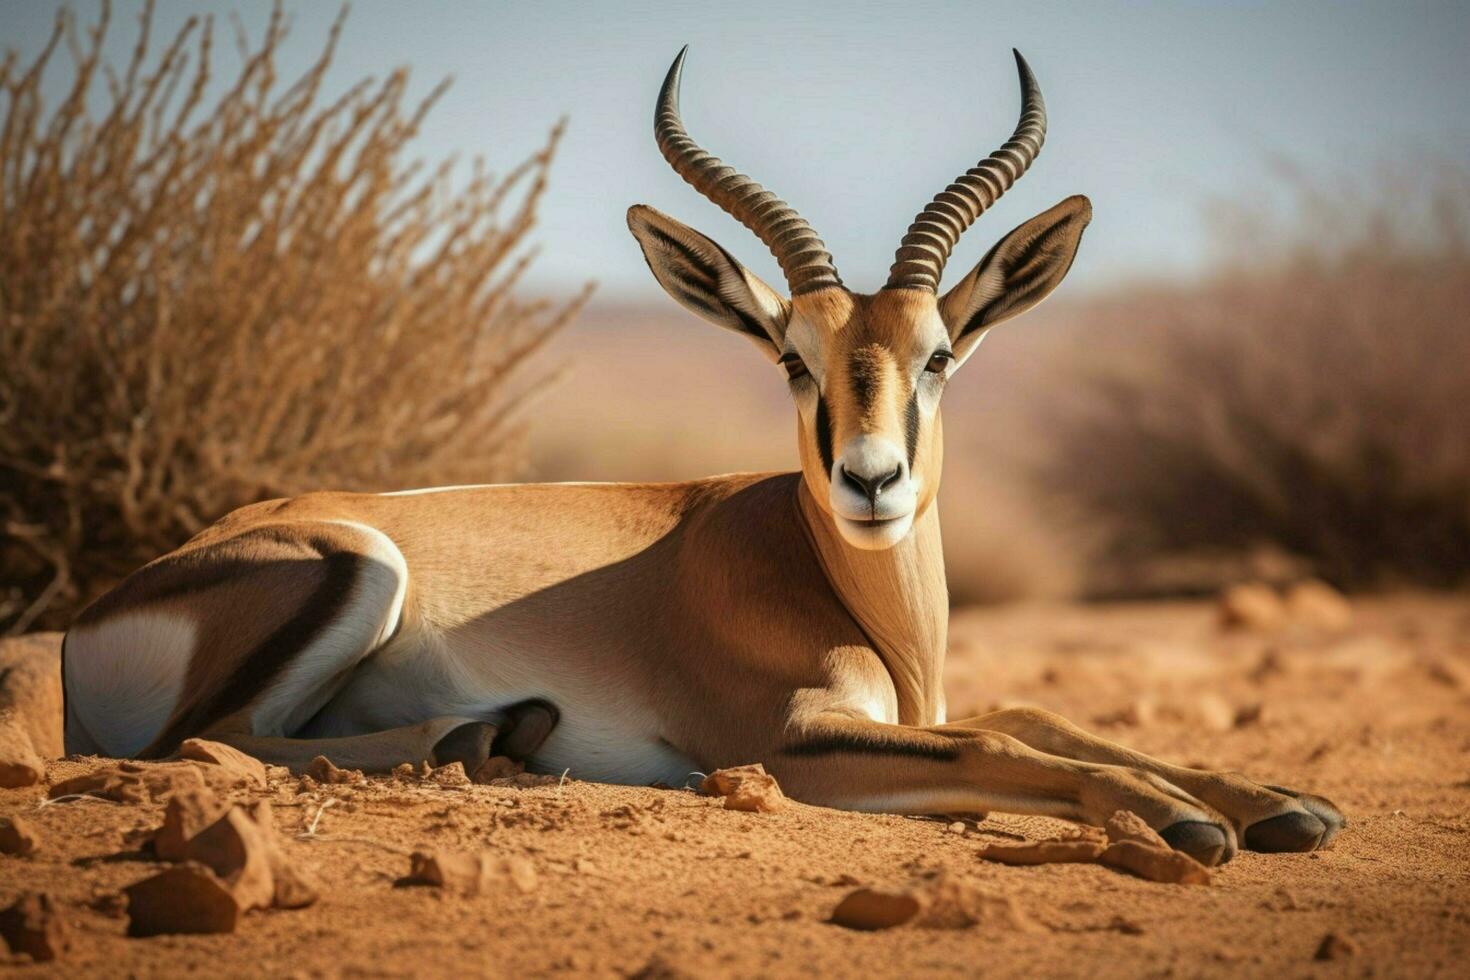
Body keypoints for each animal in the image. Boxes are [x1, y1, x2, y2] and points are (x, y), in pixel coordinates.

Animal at [63, 51, 1340, 863]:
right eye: (792, 359)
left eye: (936, 354)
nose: (869, 480)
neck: (838, 578)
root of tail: (91, 617)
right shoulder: (790, 740)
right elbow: (995, 733)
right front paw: (1185, 818)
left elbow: (1038, 710)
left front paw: (1282, 799)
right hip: (358, 567)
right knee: (206, 740)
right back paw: (478, 733)